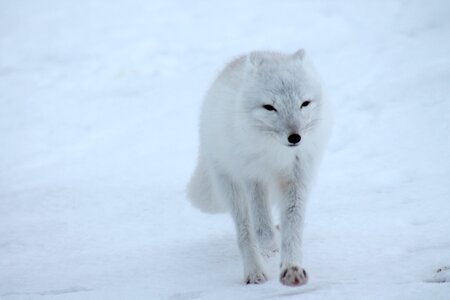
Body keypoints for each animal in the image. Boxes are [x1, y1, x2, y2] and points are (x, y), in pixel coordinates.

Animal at [186, 49, 330, 286]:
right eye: (270, 107)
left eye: (304, 103)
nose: (295, 137)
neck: (276, 154)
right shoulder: (253, 177)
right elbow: (261, 227)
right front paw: (271, 244)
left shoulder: (296, 178)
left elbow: (293, 226)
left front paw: (291, 269)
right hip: (231, 187)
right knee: (246, 231)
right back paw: (254, 272)